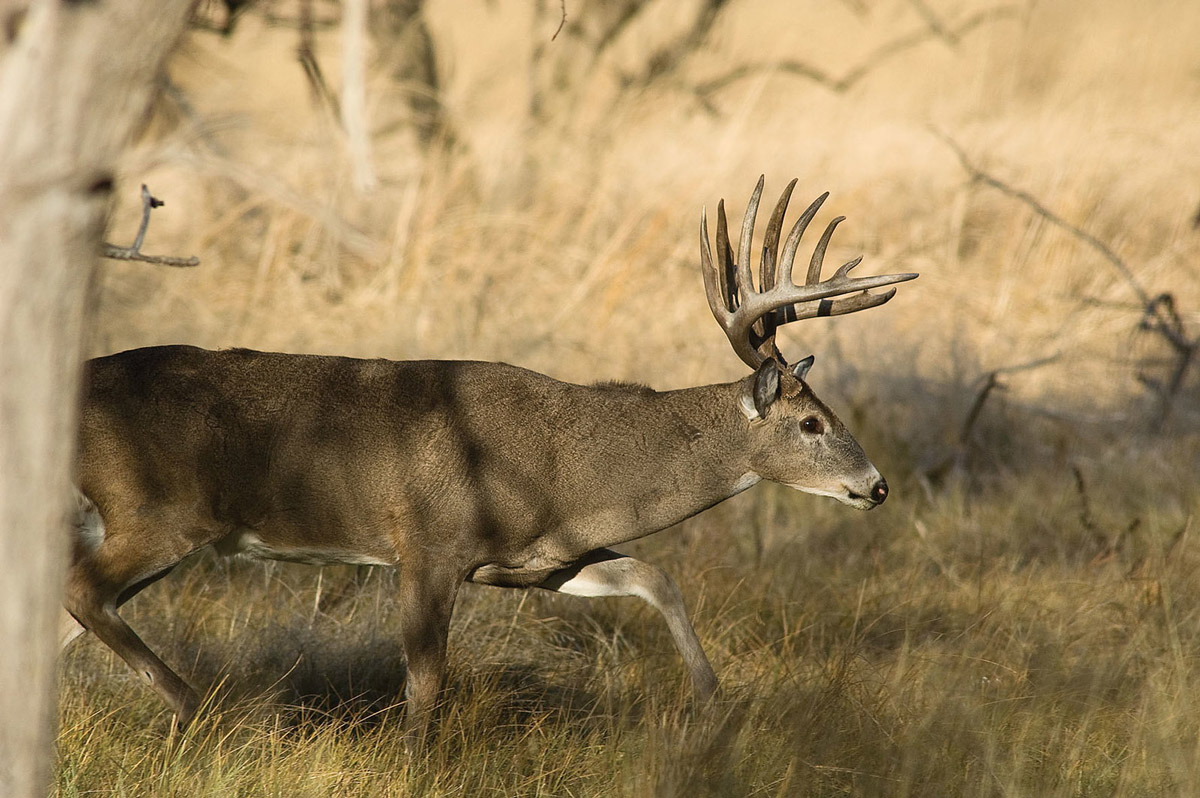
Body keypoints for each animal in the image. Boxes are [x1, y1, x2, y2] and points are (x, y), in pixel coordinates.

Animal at [65, 178, 916, 739]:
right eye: (810, 422)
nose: (876, 487)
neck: (569, 465)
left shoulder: (536, 562)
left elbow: (655, 576)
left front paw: (712, 702)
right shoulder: (430, 544)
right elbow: (425, 678)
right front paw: (414, 761)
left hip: (136, 526)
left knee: (70, 607)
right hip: (157, 512)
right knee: (81, 593)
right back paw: (195, 706)